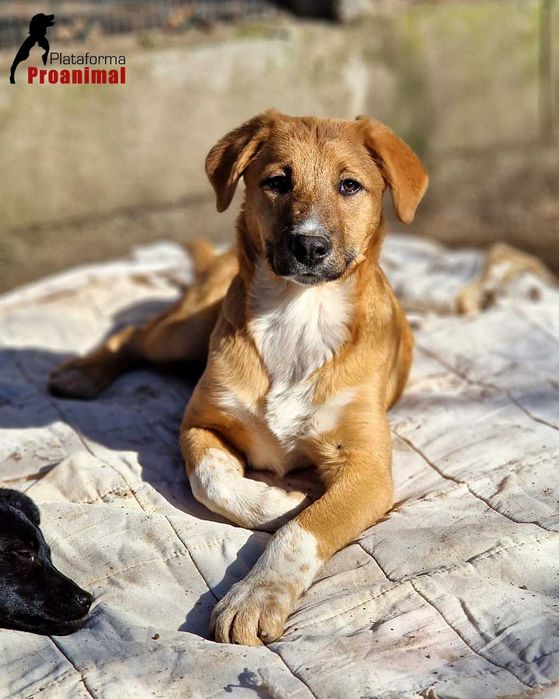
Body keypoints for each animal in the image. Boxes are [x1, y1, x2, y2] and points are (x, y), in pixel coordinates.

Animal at [49, 110, 428, 645]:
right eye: (278, 182)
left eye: (350, 185)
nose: (309, 245)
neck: (298, 314)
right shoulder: (200, 421)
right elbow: (212, 479)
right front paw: (281, 500)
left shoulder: (368, 467)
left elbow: (307, 527)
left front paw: (255, 595)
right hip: (181, 334)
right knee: (134, 333)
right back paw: (82, 373)